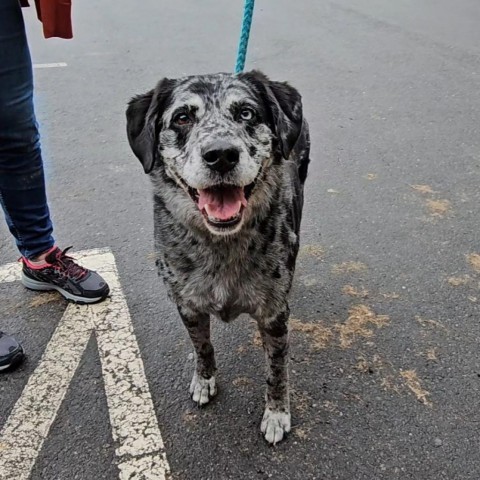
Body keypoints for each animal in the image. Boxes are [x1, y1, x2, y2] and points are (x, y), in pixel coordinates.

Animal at [125, 69, 310, 444]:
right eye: (182, 117)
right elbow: (202, 346)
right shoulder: (187, 305)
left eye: (246, 113)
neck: (221, 244)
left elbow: (277, 368)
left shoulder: (274, 315)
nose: (221, 154)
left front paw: (276, 414)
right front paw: (204, 379)